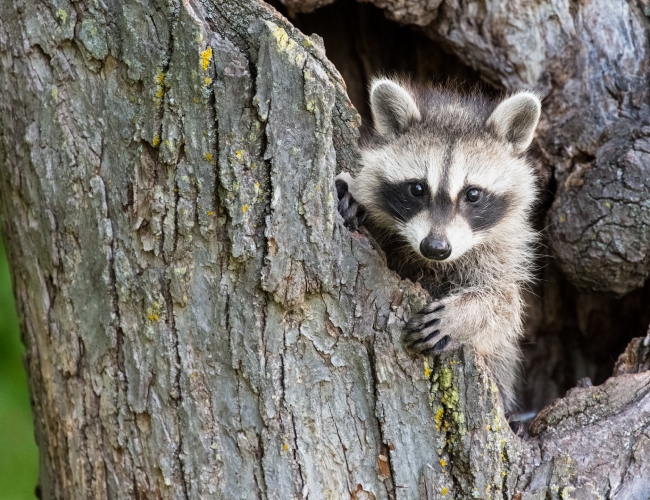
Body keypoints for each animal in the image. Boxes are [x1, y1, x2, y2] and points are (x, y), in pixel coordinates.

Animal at [336, 78, 541, 411]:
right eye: (417, 188)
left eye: (473, 194)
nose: (435, 247)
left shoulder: (502, 251)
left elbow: (504, 307)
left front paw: (465, 315)